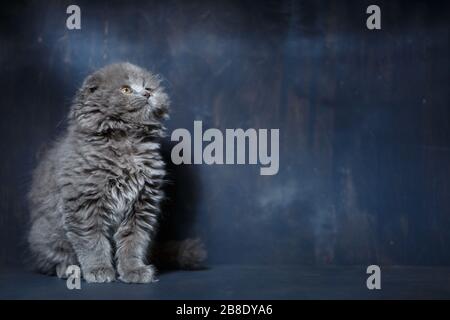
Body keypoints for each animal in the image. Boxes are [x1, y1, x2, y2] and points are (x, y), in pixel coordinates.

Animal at [29, 62, 207, 282]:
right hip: (45, 232)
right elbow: (92, 241)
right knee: (51, 259)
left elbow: (133, 242)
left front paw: (133, 270)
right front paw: (98, 270)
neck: (127, 141)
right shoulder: (84, 204)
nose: (147, 94)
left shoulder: (142, 206)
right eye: (126, 90)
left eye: (148, 88)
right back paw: (67, 269)